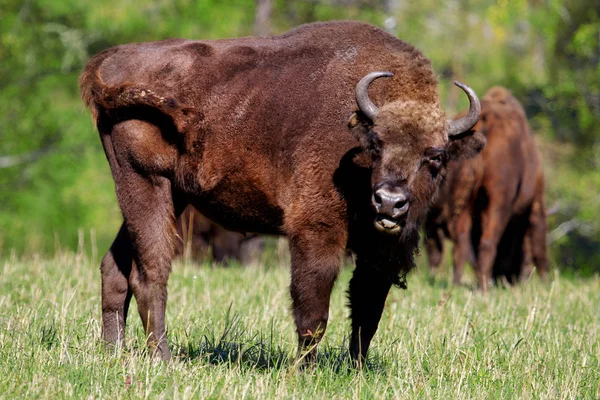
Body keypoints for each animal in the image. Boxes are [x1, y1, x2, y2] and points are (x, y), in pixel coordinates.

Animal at [79, 21, 486, 362]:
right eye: (375, 144)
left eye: (436, 157)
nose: (389, 202)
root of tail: (112, 58)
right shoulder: (316, 231)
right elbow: (314, 307)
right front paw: (305, 369)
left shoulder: (380, 251)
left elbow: (367, 309)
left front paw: (356, 368)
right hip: (146, 183)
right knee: (150, 272)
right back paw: (162, 358)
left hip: (166, 194)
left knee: (114, 267)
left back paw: (112, 352)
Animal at [426, 87, 548, 290]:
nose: (514, 277)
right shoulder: (535, 202)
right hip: (499, 202)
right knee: (487, 243)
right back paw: (484, 287)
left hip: (461, 203)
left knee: (460, 242)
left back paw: (457, 284)